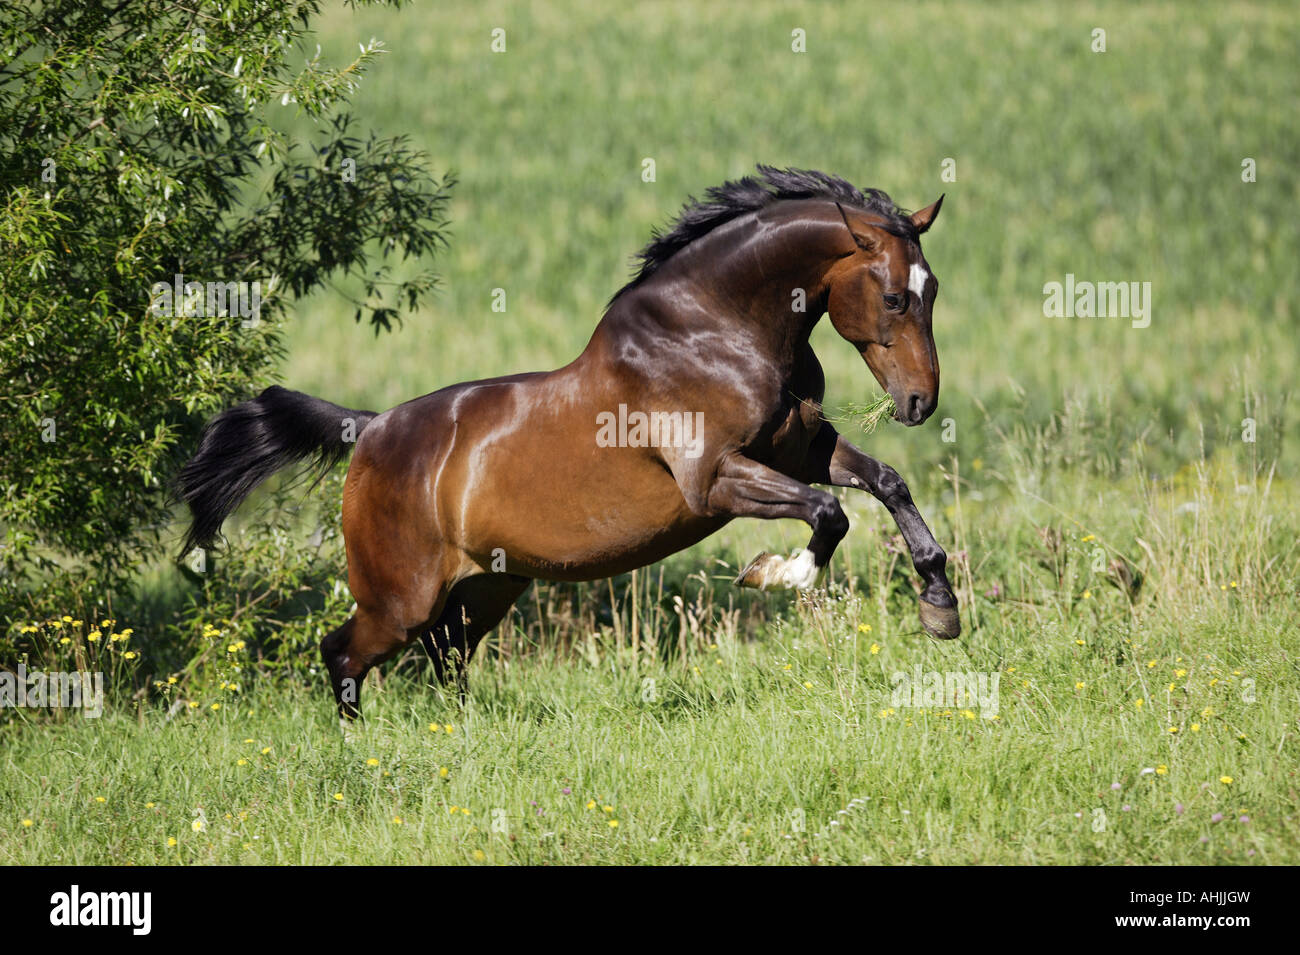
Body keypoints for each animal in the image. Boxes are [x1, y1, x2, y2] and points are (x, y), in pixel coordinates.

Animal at [178, 165, 960, 724]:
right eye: (895, 297)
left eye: (934, 291)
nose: (920, 403)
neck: (715, 331)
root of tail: (368, 429)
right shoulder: (715, 479)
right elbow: (829, 513)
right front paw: (775, 574)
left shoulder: (798, 450)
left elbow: (886, 483)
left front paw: (940, 605)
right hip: (398, 599)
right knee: (343, 653)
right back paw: (361, 749)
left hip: (486, 587)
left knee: (446, 656)